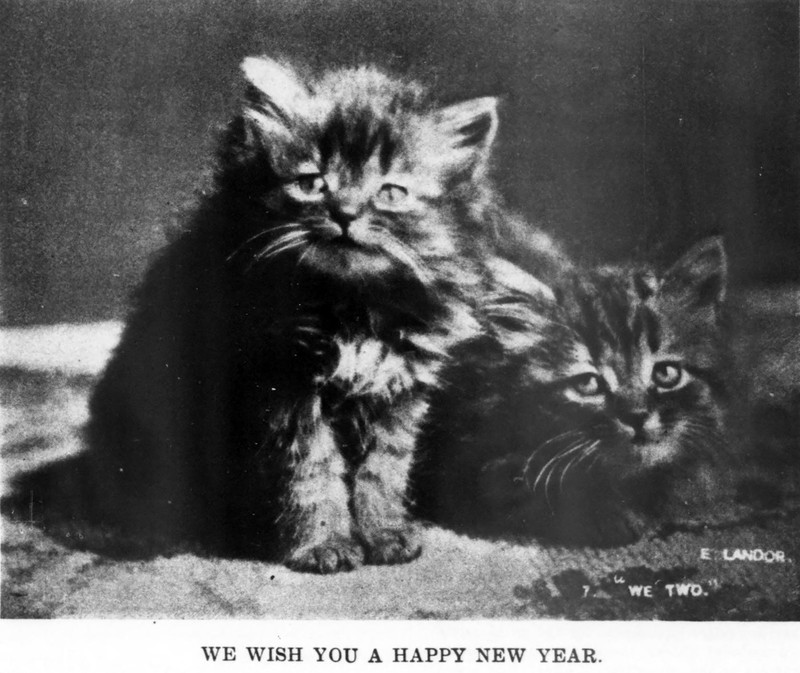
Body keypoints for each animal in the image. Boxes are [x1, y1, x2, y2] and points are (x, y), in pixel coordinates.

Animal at [83, 57, 568, 572]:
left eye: (391, 192)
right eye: (313, 183)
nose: (346, 212)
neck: (353, 306)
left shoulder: (401, 386)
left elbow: (384, 471)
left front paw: (384, 534)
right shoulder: (283, 383)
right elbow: (312, 473)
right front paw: (324, 544)